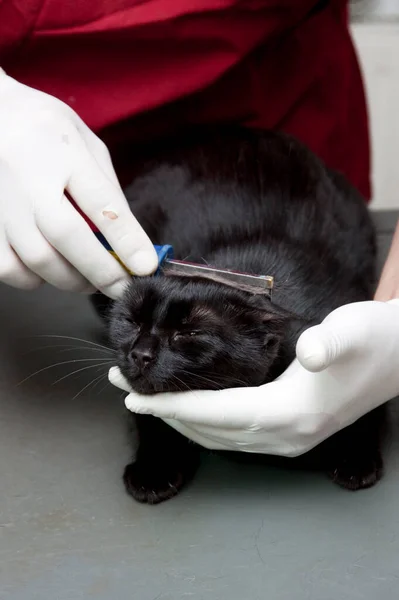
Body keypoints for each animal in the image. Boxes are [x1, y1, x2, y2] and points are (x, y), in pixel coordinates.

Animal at [90, 129, 384, 504]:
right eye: (132, 321)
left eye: (190, 333)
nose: (140, 354)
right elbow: (148, 417)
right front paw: (154, 470)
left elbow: (366, 402)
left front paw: (356, 457)